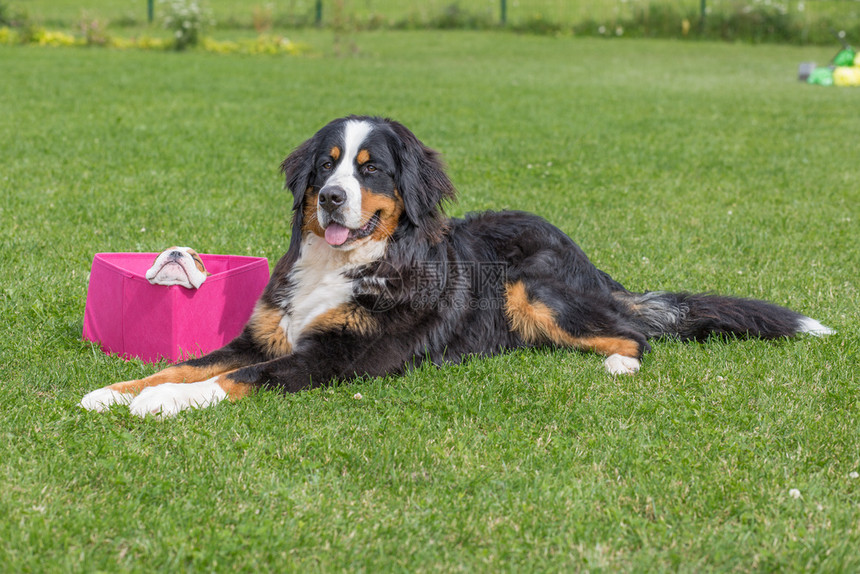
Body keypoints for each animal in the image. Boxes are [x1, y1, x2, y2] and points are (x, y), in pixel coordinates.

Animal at [80, 116, 832, 418]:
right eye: (327, 164)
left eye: (370, 168)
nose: (330, 198)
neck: (342, 263)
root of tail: (586, 256)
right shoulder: (262, 335)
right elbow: (191, 360)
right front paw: (116, 391)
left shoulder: (330, 358)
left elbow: (233, 379)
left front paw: (163, 405)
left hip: (533, 288)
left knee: (637, 334)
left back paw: (619, 364)